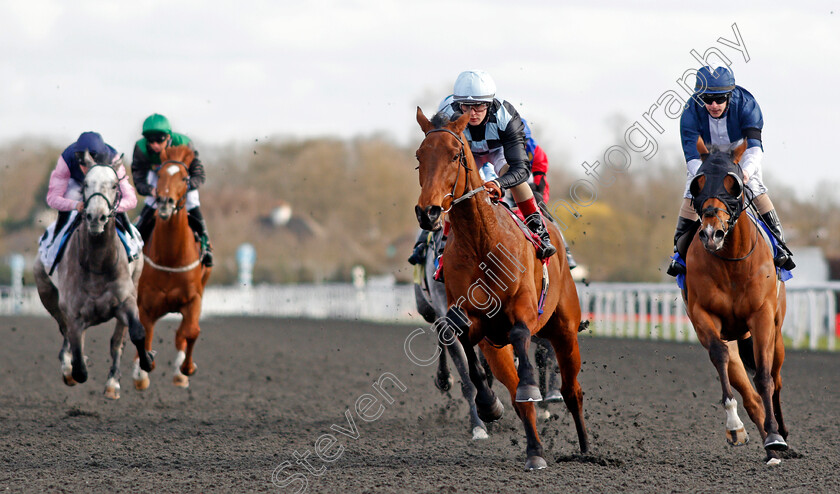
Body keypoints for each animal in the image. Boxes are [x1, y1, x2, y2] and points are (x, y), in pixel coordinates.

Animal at [32, 152, 154, 400]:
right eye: (86, 184)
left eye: (115, 184)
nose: (96, 217)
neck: (98, 264)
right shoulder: (73, 314)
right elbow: (79, 362)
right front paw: (72, 369)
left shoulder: (126, 301)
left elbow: (136, 333)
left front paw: (146, 362)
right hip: (46, 292)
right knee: (65, 333)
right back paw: (67, 367)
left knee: (117, 341)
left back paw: (112, 383)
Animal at [135, 145, 212, 392]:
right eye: (159, 174)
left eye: (185, 178)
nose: (165, 202)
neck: (170, 258)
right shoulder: (145, 304)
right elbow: (144, 333)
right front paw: (143, 369)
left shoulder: (194, 298)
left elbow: (191, 331)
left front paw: (186, 368)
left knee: (182, 333)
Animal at [416, 108, 588, 470]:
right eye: (419, 156)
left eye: (455, 155)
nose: (429, 212)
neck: (482, 241)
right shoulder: (469, 318)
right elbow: (467, 350)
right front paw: (488, 406)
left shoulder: (524, 308)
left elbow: (521, 334)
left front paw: (530, 386)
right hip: (499, 348)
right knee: (518, 396)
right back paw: (535, 452)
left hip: (565, 329)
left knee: (571, 389)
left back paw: (584, 449)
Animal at [684, 138, 788, 464]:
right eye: (698, 183)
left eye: (734, 184)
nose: (711, 233)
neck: (731, 262)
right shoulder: (702, 316)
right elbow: (719, 356)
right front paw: (734, 426)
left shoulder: (762, 317)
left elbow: (765, 377)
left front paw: (776, 437)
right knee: (749, 392)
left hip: (777, 334)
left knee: (776, 379)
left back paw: (779, 434)